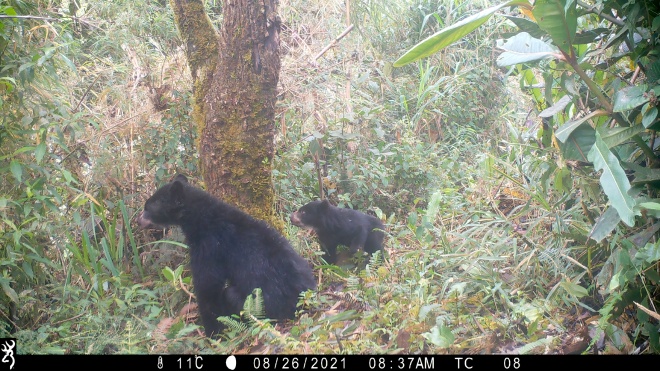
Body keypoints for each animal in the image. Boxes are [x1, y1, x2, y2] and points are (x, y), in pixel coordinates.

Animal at [136, 174, 314, 338]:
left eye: (148, 208)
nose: (138, 221)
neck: (202, 218)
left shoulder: (210, 246)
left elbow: (208, 286)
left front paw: (213, 332)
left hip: (261, 303)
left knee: (231, 295)